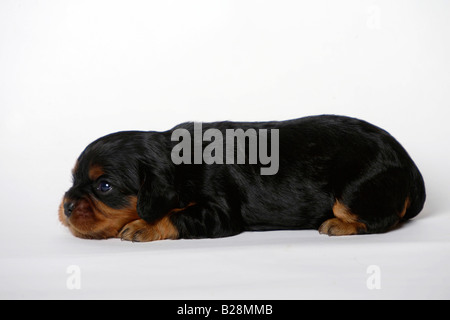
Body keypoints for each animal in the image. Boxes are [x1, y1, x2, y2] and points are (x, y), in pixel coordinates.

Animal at [59, 114, 426, 241]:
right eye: (73, 179)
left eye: (104, 186)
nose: (65, 207)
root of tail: (410, 166)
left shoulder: (219, 213)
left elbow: (175, 214)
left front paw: (142, 225)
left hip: (354, 190)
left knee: (381, 218)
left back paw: (339, 225)